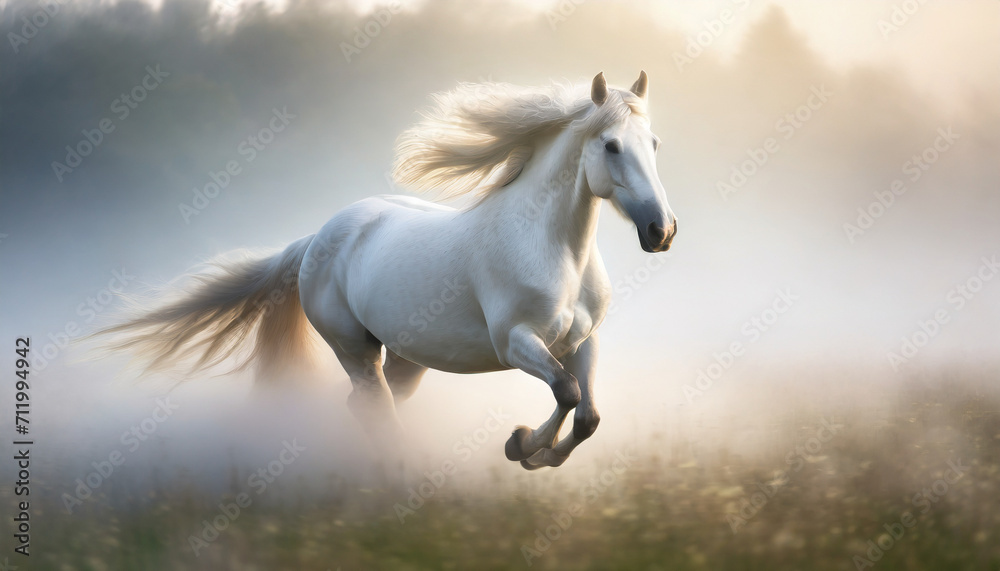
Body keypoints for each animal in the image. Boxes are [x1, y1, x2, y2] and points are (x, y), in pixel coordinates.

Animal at [95, 71, 677, 470]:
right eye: (610, 145)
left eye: (654, 144)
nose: (661, 230)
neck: (553, 250)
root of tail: (317, 239)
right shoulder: (516, 343)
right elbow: (567, 393)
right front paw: (522, 446)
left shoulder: (582, 342)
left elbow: (587, 412)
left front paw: (537, 454)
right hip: (354, 347)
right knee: (371, 403)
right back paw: (399, 471)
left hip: (406, 356)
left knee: (371, 403)